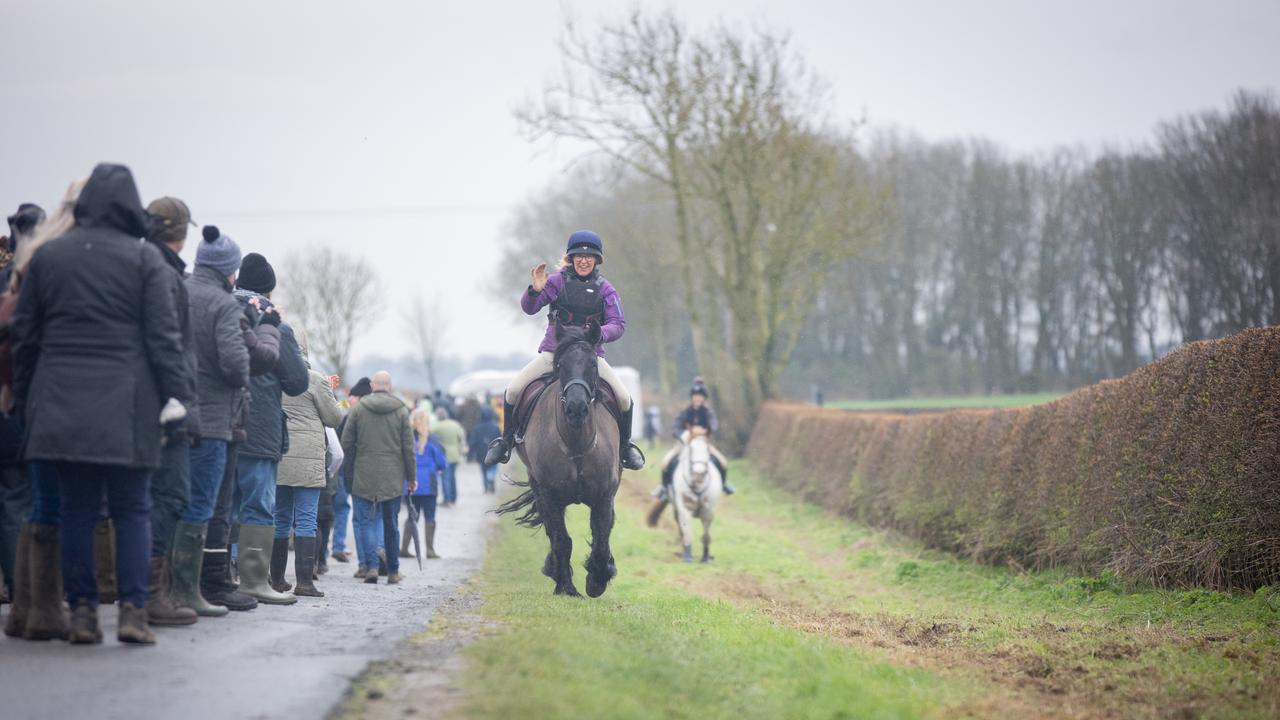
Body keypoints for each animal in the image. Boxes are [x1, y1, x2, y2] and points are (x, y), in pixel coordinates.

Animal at [494, 319, 619, 594]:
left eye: (593, 364)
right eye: (561, 365)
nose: (576, 408)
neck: (576, 443)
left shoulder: (604, 495)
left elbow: (602, 538)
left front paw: (597, 580)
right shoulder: (549, 494)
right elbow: (562, 539)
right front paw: (566, 588)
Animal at [670, 430, 721, 561]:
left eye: (708, 448)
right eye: (691, 449)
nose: (698, 474)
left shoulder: (708, 510)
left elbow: (706, 534)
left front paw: (706, 557)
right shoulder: (685, 508)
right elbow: (686, 530)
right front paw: (687, 555)